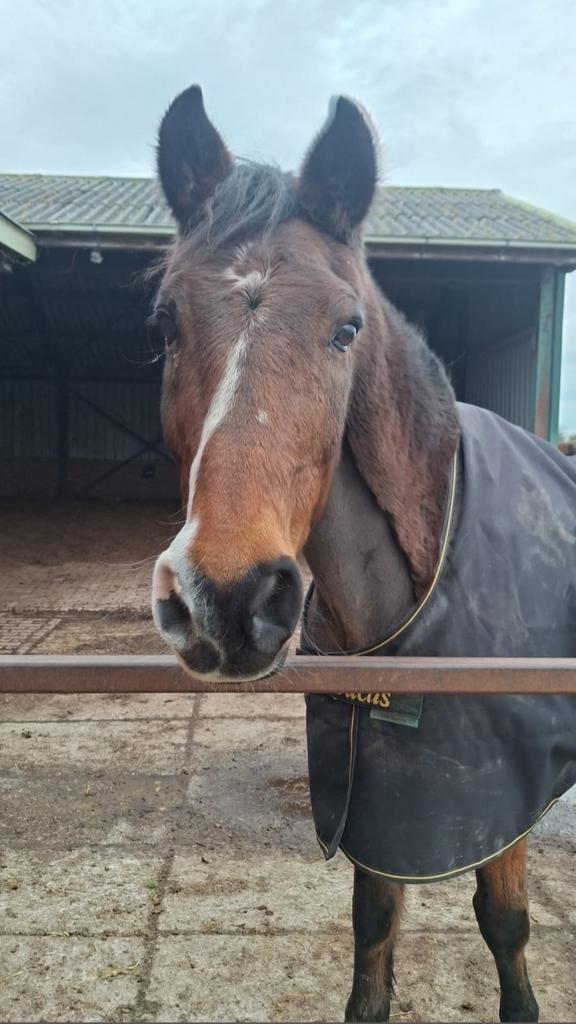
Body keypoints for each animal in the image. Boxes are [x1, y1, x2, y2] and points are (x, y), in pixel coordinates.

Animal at [149, 85, 576, 1022]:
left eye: (346, 327)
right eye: (163, 320)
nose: (227, 598)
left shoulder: (505, 804)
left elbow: (505, 925)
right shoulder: (381, 807)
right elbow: (373, 938)